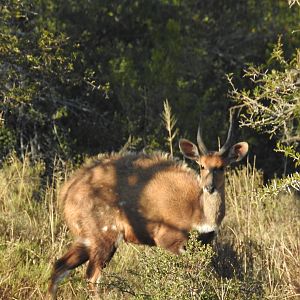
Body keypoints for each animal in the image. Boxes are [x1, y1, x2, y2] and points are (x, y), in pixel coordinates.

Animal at [47, 115, 248, 298]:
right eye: (202, 165)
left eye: (221, 167)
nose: (209, 187)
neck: (198, 213)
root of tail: (67, 192)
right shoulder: (168, 241)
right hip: (104, 237)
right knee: (91, 277)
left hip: (85, 239)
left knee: (58, 267)